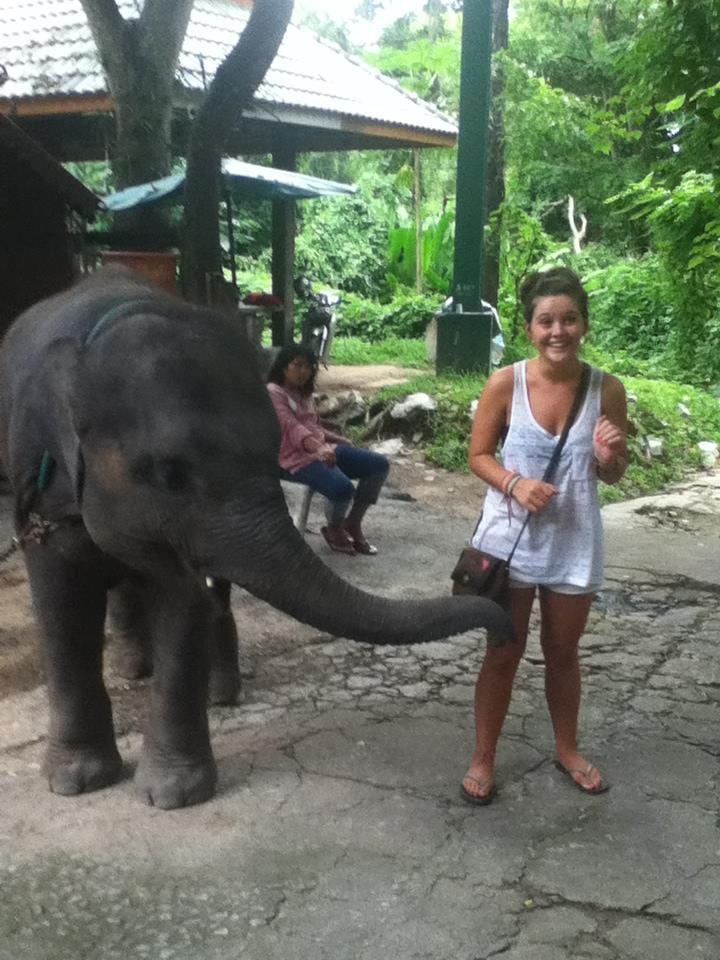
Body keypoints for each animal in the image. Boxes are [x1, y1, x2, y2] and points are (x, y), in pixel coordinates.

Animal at [0, 268, 512, 808]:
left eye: (272, 449)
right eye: (169, 475)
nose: (503, 632)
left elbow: (181, 602)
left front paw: (174, 795)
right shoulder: (39, 479)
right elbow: (61, 606)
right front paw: (76, 783)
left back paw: (219, 692)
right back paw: (136, 669)